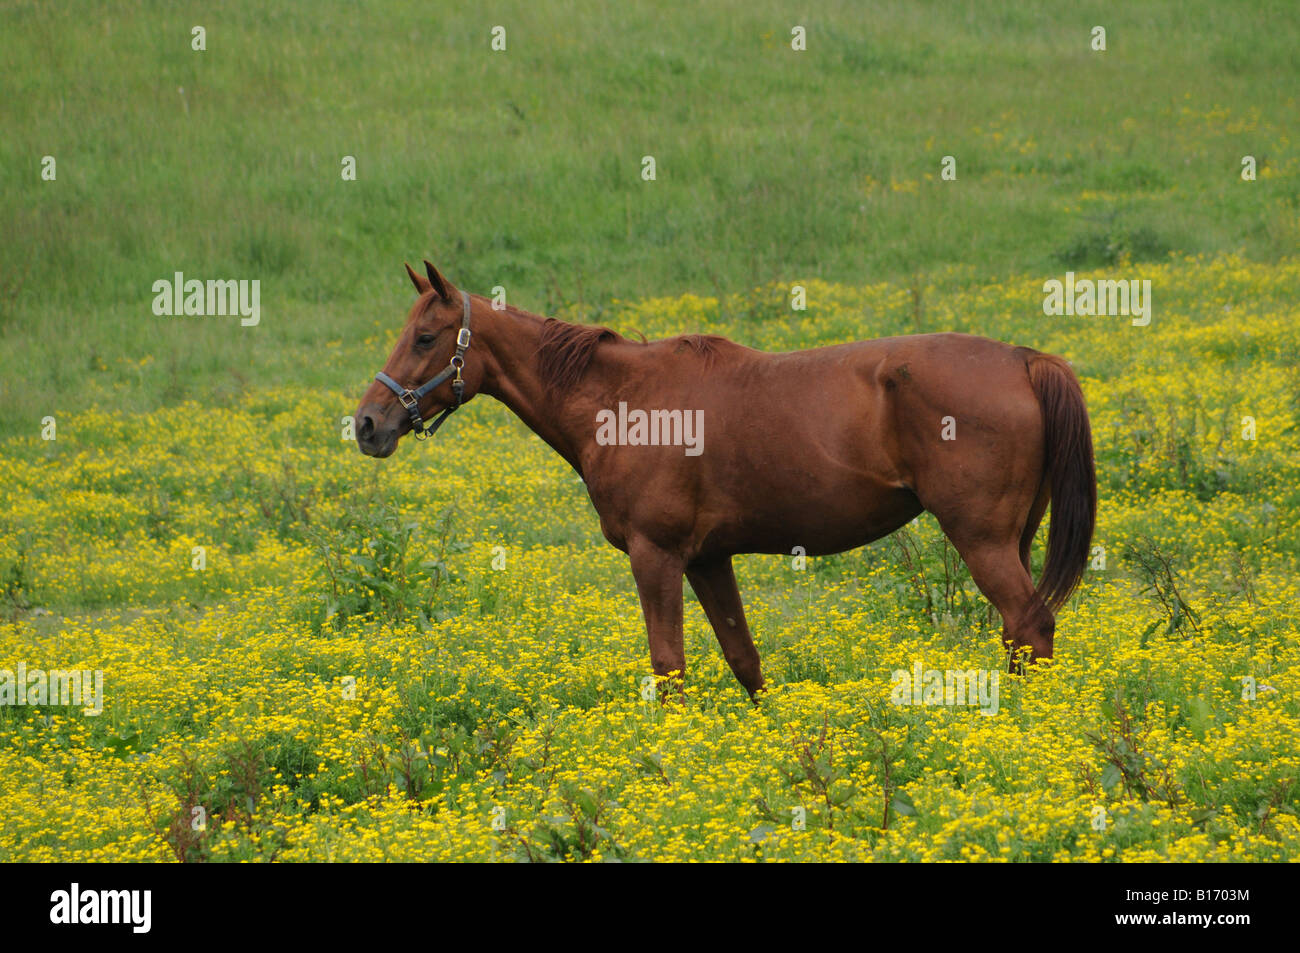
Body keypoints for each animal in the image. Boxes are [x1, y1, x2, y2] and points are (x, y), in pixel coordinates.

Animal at [356, 260, 1097, 696]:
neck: (623, 401)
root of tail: (1024, 358)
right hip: (1011, 539)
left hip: (982, 540)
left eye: (426, 338)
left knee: (1030, 626)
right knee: (1020, 635)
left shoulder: (657, 557)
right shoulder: (709, 560)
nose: (367, 424)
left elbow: (669, 666)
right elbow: (745, 658)